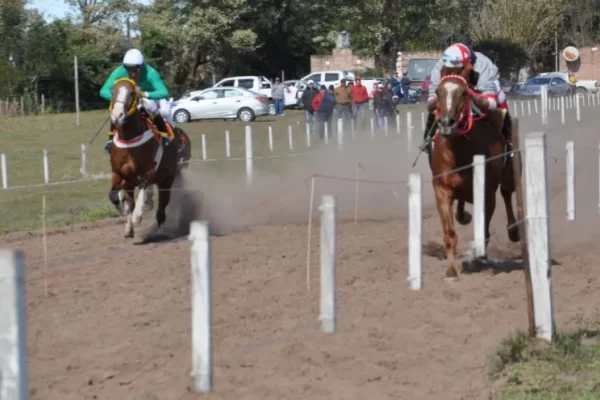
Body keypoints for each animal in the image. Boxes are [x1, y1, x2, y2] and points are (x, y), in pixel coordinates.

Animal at [106, 77, 192, 238]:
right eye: (113, 92)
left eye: (132, 93)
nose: (117, 115)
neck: (129, 140)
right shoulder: (119, 174)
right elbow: (115, 196)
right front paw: (127, 221)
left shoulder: (148, 172)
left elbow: (142, 192)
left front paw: (137, 216)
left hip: (168, 177)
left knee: (163, 205)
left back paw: (159, 230)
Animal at [432, 70, 520, 280]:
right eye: (438, 92)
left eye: (464, 92)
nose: (446, 124)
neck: (461, 150)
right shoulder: (442, 188)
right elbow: (450, 233)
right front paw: (451, 272)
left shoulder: (487, 192)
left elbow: (484, 230)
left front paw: (478, 260)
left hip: (507, 174)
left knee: (506, 193)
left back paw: (513, 231)